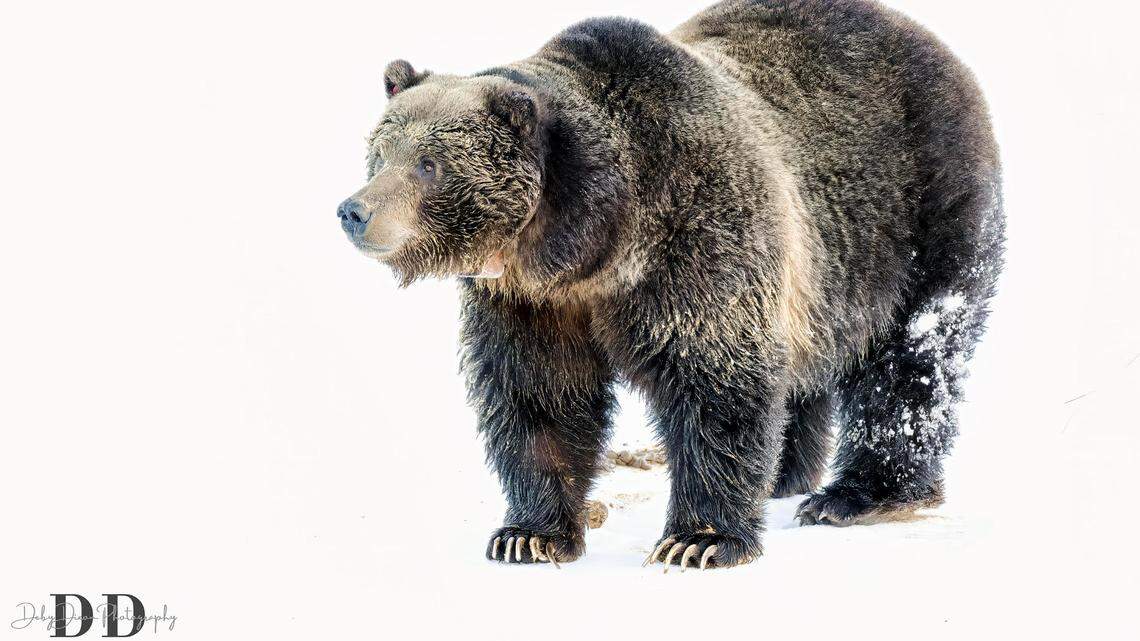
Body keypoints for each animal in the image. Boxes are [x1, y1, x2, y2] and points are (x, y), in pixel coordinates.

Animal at [337, 0, 1004, 570]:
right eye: (380, 151)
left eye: (429, 164)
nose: (354, 210)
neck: (584, 247)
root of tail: (923, 35)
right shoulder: (532, 302)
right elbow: (539, 396)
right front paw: (528, 534)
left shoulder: (696, 239)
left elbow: (716, 378)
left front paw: (699, 540)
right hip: (823, 278)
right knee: (805, 373)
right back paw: (787, 478)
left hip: (919, 216)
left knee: (914, 358)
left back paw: (858, 494)